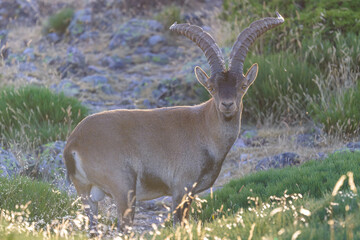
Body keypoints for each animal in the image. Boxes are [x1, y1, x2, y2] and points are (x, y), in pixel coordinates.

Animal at [64, 12, 284, 232]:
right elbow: (180, 222)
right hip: (123, 188)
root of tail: (74, 144)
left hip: (86, 194)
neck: (203, 127)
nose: (227, 105)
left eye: (243, 86)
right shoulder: (181, 188)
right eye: (211, 87)